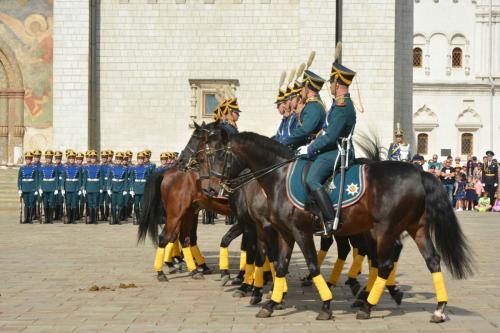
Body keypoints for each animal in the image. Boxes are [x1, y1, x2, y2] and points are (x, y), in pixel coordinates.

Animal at [198, 128, 472, 320]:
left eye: (218, 154)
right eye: (205, 154)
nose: (210, 187)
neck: (276, 178)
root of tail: (419, 172)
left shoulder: (294, 231)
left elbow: (308, 264)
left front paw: (325, 304)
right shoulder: (283, 233)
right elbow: (280, 265)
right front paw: (271, 302)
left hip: (383, 230)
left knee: (383, 262)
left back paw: (368, 303)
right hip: (414, 228)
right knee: (431, 260)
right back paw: (438, 308)